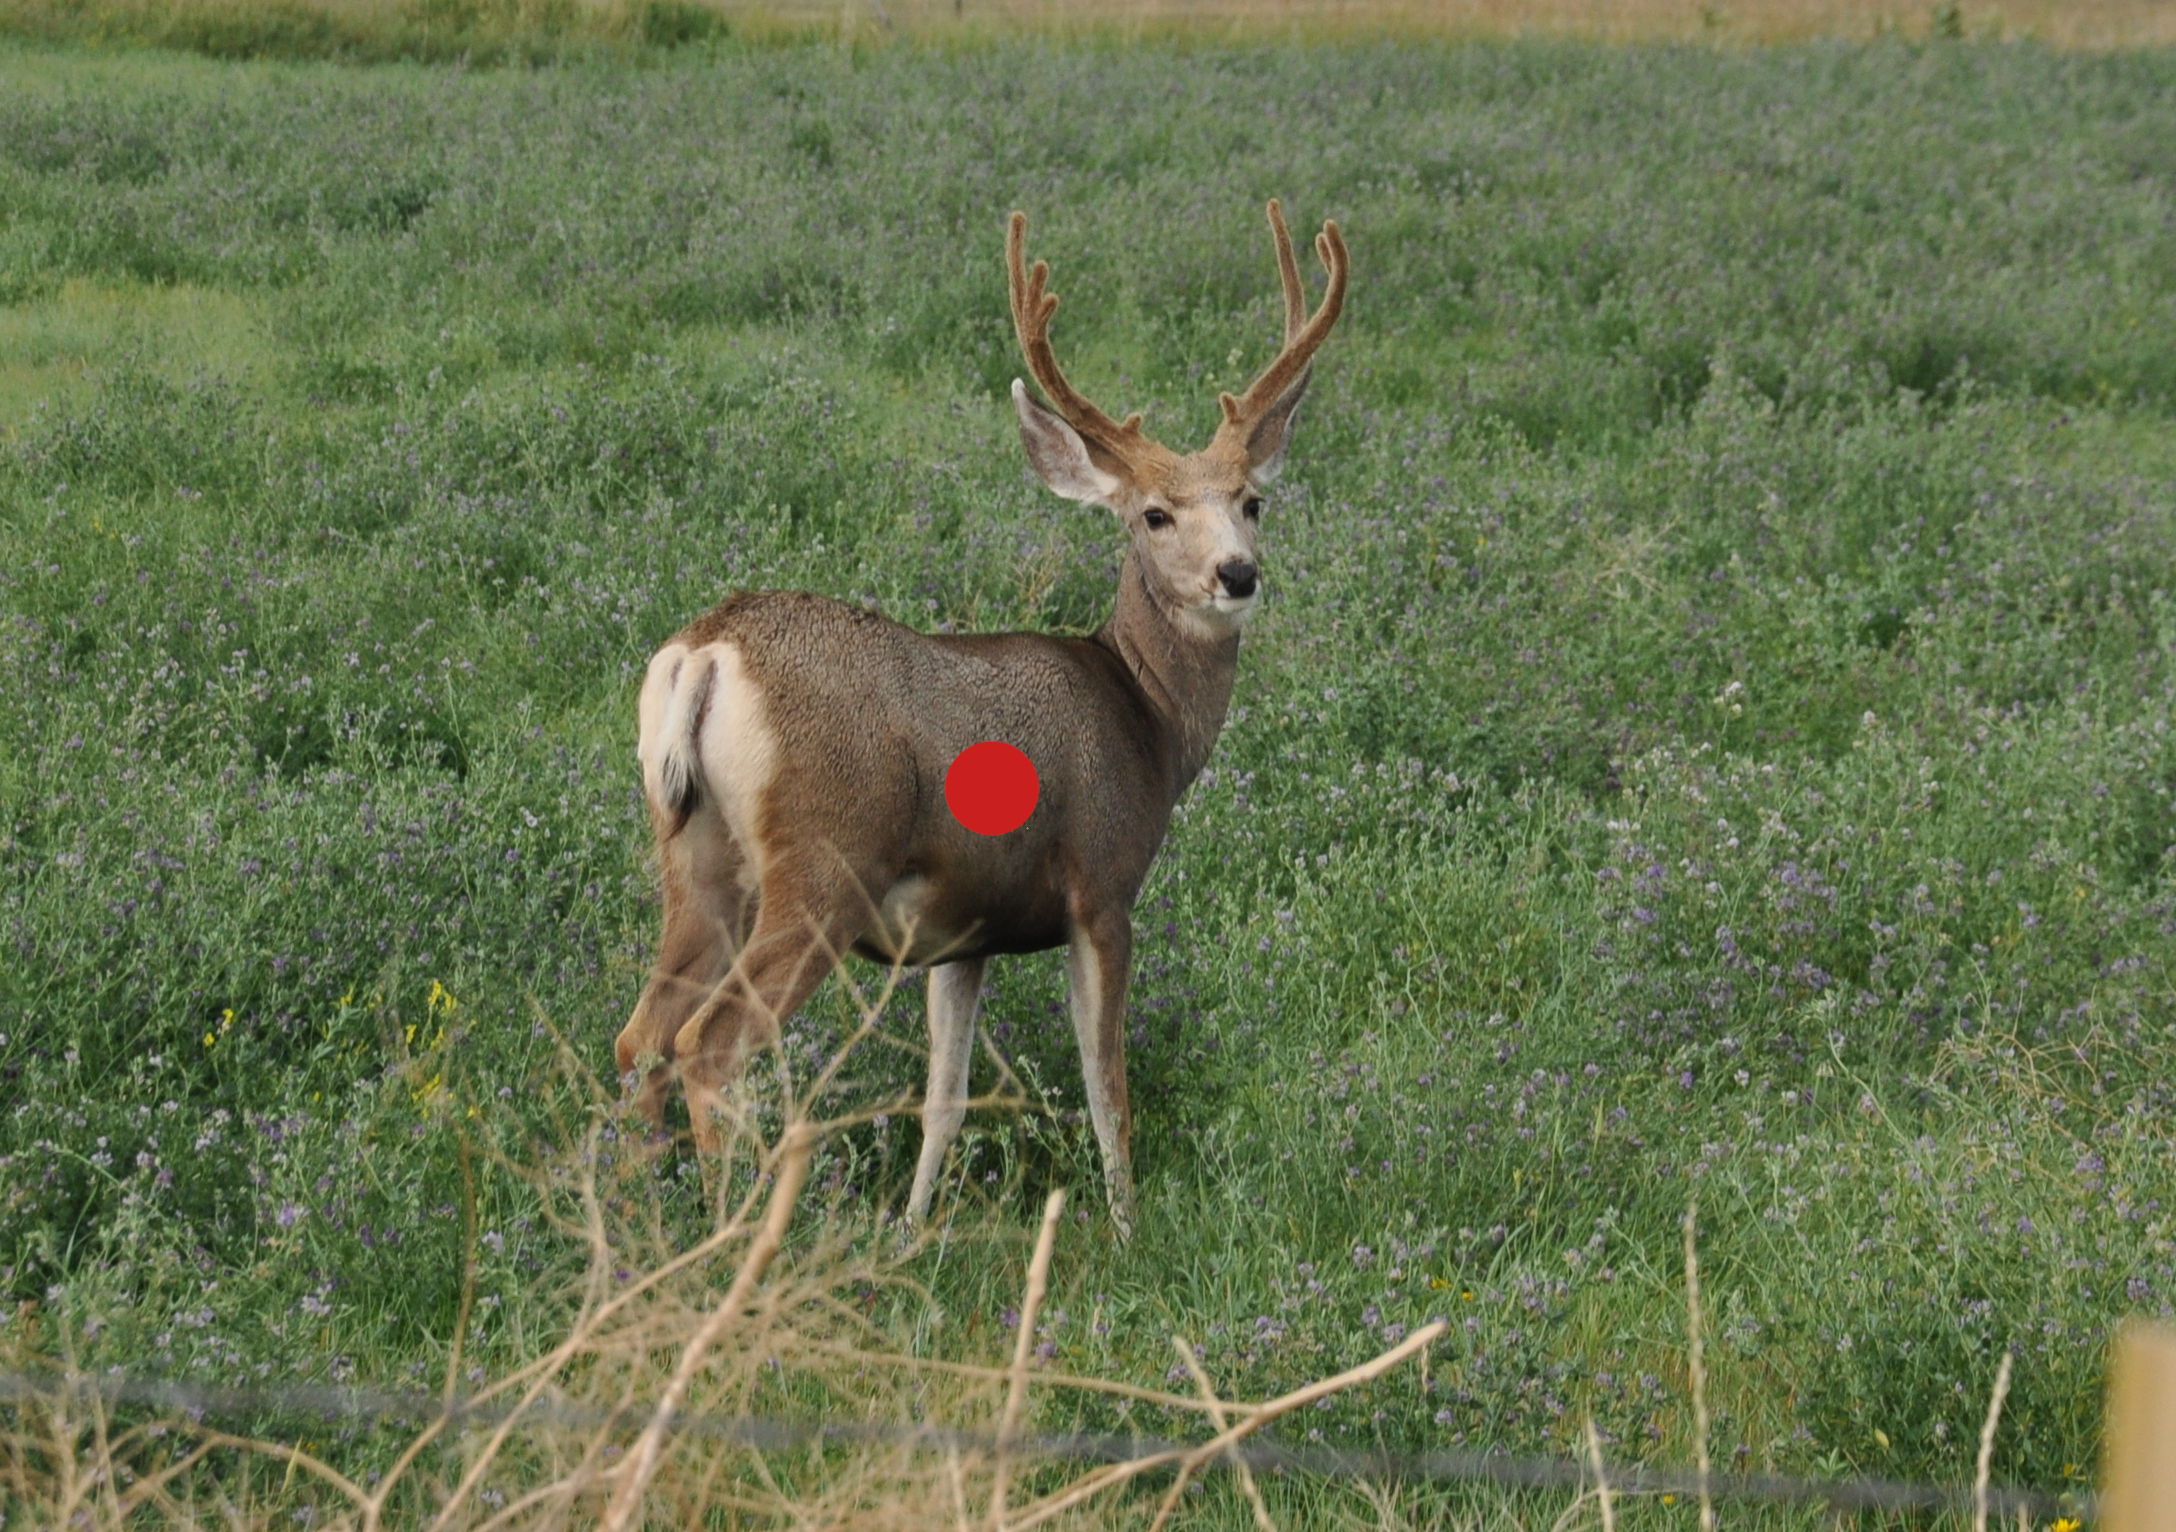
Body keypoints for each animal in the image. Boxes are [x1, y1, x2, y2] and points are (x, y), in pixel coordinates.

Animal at [613, 200, 1349, 1236]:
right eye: (1154, 515)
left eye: (1253, 501)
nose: (1237, 573)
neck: (1148, 721)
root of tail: (707, 651)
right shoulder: (1102, 886)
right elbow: (1106, 1085)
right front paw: (1127, 1230)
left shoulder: (963, 933)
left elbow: (945, 1097)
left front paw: (915, 1229)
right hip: (821, 864)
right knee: (709, 1046)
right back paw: (736, 1237)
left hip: (693, 850)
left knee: (639, 1036)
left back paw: (630, 1231)